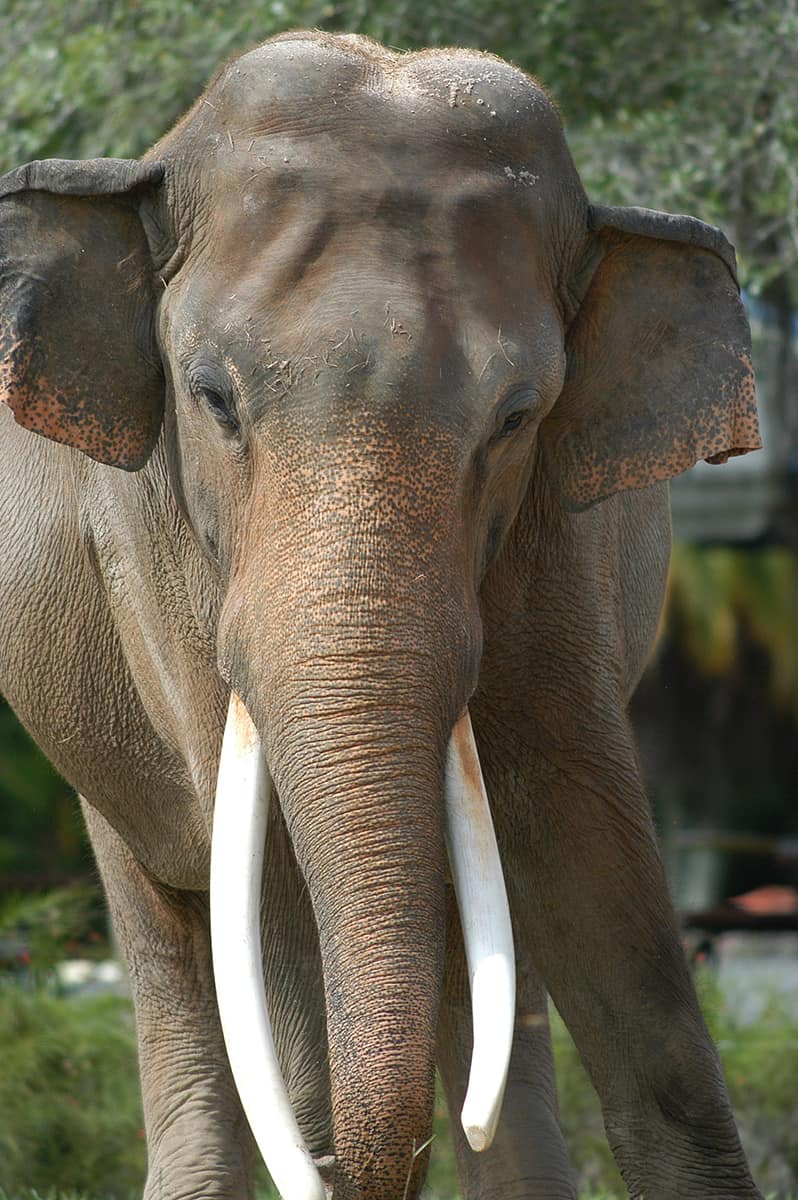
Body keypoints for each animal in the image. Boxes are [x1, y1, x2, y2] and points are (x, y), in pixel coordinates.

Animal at [0, 25, 763, 1200]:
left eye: (517, 416)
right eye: (212, 398)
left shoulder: (558, 534)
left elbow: (584, 837)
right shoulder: (154, 544)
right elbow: (266, 893)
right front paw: (316, 1140)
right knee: (171, 931)